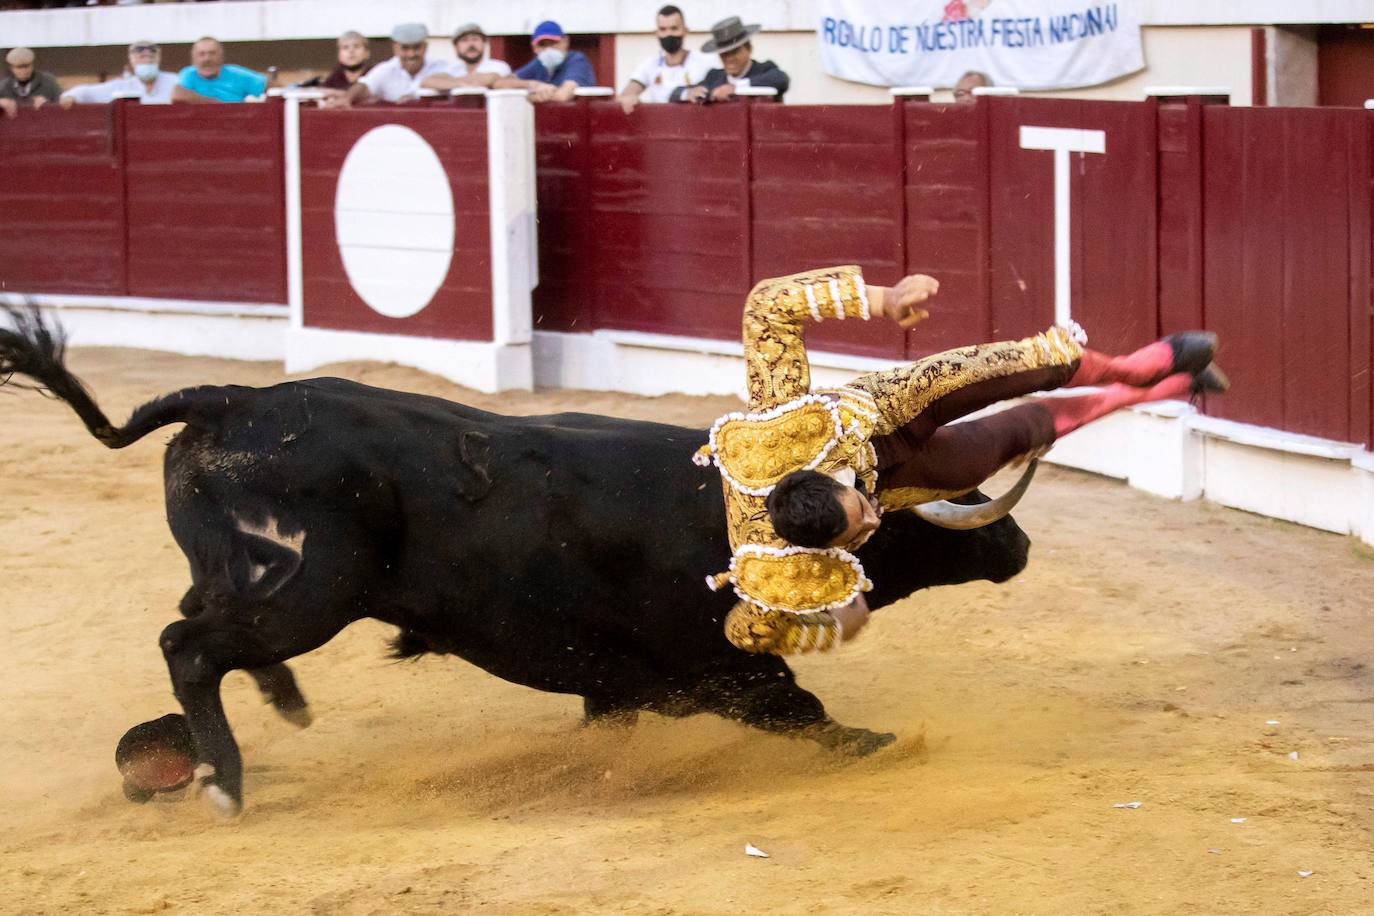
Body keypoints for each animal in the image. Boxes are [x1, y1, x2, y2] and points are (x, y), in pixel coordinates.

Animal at [0, 310, 1033, 818]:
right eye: (901, 506)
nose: (1017, 542)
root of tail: (229, 397)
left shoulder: (618, 684)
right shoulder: (717, 669)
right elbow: (808, 715)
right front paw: (884, 743)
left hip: (248, 581)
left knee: (205, 633)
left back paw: (270, 709)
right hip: (312, 591)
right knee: (189, 645)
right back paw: (225, 779)